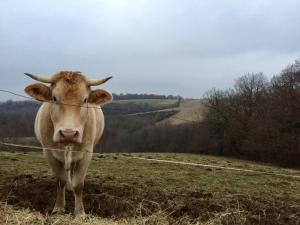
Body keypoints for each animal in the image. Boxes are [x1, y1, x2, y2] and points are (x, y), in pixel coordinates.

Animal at [23, 71, 112, 217]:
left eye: (85, 100)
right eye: (54, 98)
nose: (68, 133)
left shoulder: (86, 153)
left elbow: (78, 184)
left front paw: (80, 212)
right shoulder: (48, 152)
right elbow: (61, 181)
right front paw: (59, 208)